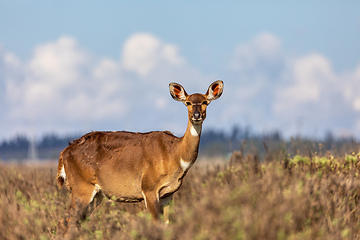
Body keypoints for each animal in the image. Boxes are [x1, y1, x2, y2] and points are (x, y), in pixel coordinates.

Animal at [57, 79, 222, 230]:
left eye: (205, 102)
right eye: (187, 102)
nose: (196, 115)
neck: (175, 154)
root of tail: (64, 153)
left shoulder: (168, 195)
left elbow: (167, 224)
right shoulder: (149, 188)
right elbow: (156, 224)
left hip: (96, 194)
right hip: (81, 188)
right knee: (68, 220)